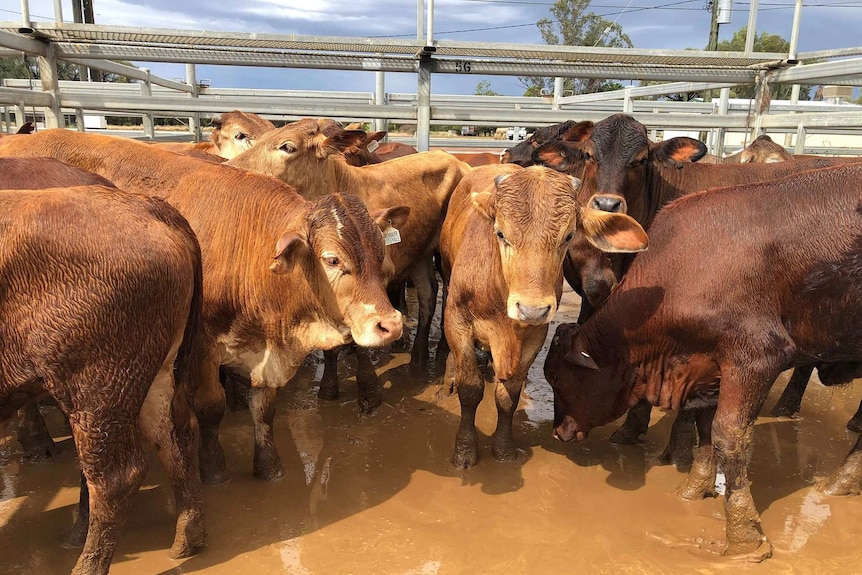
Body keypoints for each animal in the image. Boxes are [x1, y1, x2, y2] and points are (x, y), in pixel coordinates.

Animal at [0, 128, 408, 484]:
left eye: (380, 251)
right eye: (332, 260)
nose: (391, 324)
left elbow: (265, 409)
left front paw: (269, 466)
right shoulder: (202, 348)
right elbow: (211, 408)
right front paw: (213, 469)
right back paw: (36, 441)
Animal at [0, 184, 206, 575]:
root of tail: (147, 206)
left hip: (93, 391)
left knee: (115, 479)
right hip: (155, 377)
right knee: (174, 437)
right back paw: (187, 541)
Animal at [228, 119, 472, 410]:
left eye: (287, 146)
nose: (231, 167)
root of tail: (454, 159)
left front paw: (369, 390)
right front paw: (328, 386)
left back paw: (442, 351)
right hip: (420, 254)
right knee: (427, 295)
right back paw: (418, 358)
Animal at [438, 164, 648, 470]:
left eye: (569, 236)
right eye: (500, 233)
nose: (531, 309)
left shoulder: (535, 336)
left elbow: (508, 396)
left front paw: (504, 449)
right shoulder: (458, 321)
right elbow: (470, 389)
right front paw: (465, 451)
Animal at [548, 164, 862, 560]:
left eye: (557, 377)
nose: (559, 430)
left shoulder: (756, 357)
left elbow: (728, 436)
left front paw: (743, 539)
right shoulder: (707, 368)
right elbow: (704, 426)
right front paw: (691, 492)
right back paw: (839, 484)